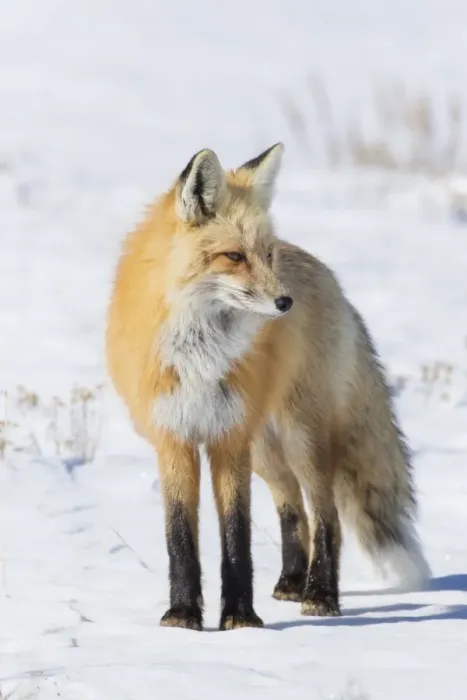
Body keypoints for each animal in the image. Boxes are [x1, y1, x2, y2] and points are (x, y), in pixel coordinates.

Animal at [105, 142, 431, 631]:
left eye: (267, 254)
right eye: (234, 257)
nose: (284, 302)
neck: (200, 353)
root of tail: (330, 280)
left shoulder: (228, 437)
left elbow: (236, 534)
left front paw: (240, 618)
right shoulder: (175, 437)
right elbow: (179, 536)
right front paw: (183, 615)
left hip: (300, 436)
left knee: (325, 514)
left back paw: (321, 596)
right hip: (264, 447)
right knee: (292, 506)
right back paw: (292, 582)